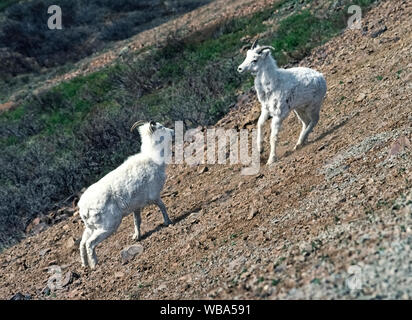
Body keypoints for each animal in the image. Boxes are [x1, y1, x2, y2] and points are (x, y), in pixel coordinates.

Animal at [78, 120, 174, 268]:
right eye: (161, 127)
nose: (173, 132)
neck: (153, 158)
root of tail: (84, 209)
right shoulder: (154, 196)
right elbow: (162, 207)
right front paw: (167, 222)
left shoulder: (137, 207)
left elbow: (137, 221)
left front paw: (137, 237)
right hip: (107, 226)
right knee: (90, 244)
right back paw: (95, 265)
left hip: (91, 227)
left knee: (82, 243)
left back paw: (85, 265)